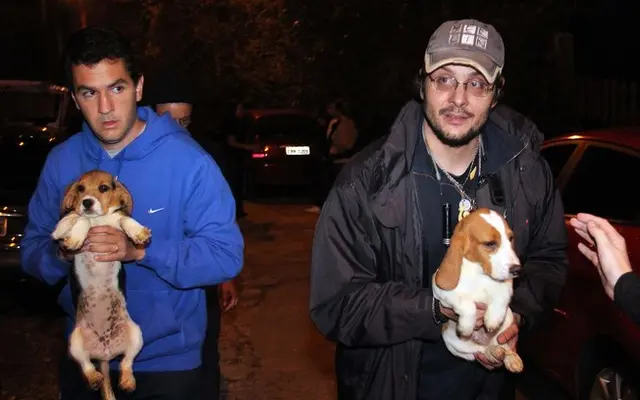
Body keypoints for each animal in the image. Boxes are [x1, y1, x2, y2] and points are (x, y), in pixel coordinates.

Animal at [51, 170, 151, 400]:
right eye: (80, 188)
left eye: (104, 188)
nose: (87, 202)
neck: (100, 219)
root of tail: (105, 355)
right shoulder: (60, 229)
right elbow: (78, 217)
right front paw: (77, 236)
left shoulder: (116, 223)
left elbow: (124, 218)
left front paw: (138, 231)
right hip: (75, 342)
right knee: (87, 365)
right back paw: (95, 378)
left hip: (136, 335)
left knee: (126, 363)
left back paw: (127, 381)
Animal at [430, 208, 524, 374]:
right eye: (490, 244)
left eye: (510, 238)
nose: (517, 270)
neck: (480, 274)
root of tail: (484, 342)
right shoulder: (441, 291)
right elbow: (467, 304)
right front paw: (466, 326)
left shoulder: (506, 285)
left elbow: (502, 296)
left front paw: (493, 319)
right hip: (452, 341)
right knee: (480, 353)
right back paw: (492, 352)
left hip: (508, 319)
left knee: (503, 346)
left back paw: (510, 356)